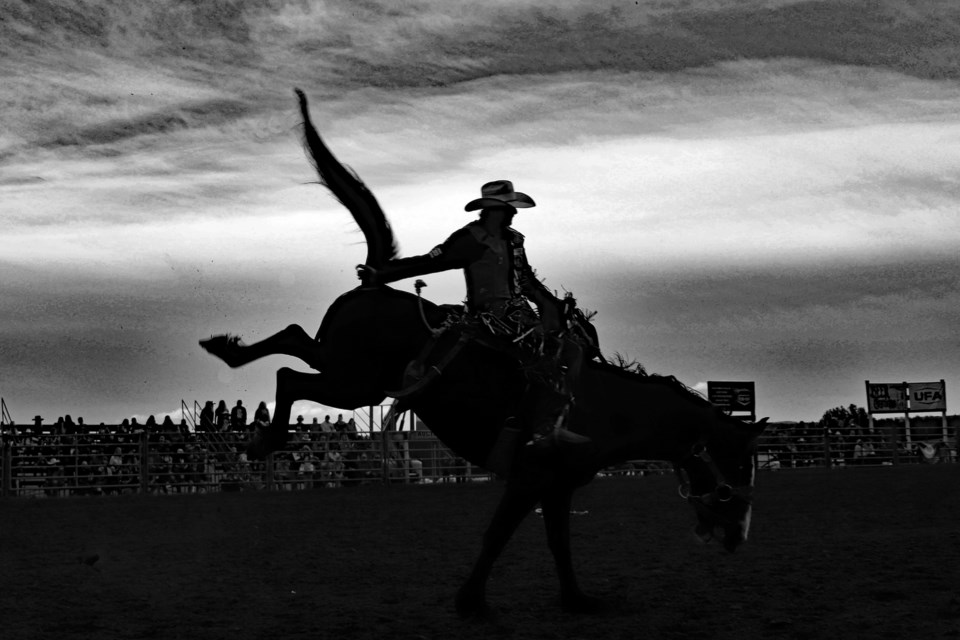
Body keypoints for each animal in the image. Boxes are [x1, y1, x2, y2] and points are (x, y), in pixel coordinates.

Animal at [204, 89, 772, 616]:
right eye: (735, 475)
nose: (738, 537)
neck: (604, 407)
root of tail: (373, 286)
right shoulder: (529, 478)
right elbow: (498, 535)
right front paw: (471, 600)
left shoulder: (558, 487)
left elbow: (559, 542)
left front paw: (575, 598)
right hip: (351, 382)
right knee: (288, 374)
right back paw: (260, 437)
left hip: (346, 372)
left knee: (294, 341)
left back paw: (227, 352)